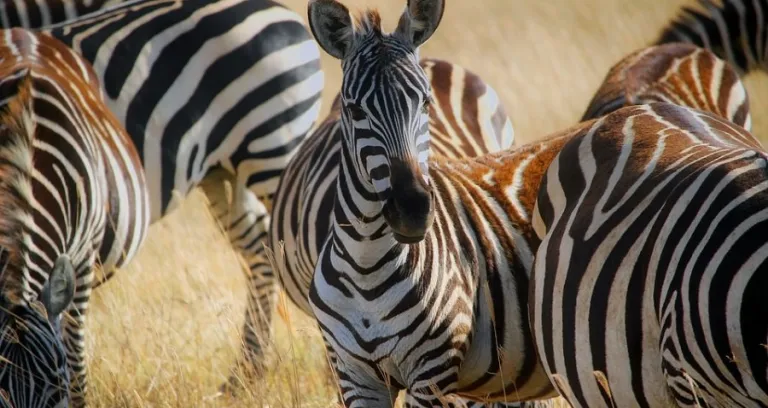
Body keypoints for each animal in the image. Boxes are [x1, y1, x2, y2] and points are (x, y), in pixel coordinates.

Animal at [304, 0, 568, 404]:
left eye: (426, 103)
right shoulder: (353, 376)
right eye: (354, 111)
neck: (366, 268)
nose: (412, 210)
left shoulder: (431, 372)